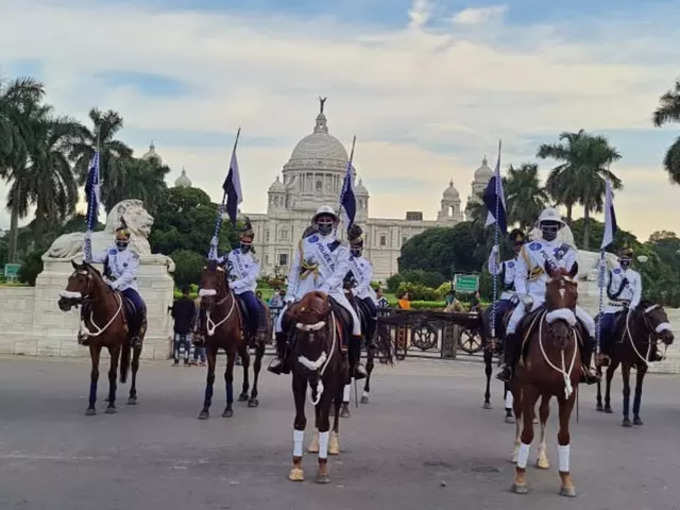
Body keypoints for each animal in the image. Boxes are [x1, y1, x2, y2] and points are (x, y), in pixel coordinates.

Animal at [57, 262, 143, 414]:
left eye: (81, 280)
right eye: (69, 279)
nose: (63, 302)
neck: (104, 311)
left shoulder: (115, 347)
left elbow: (113, 373)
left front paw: (112, 405)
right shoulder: (95, 346)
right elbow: (95, 373)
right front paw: (91, 405)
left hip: (137, 342)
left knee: (134, 366)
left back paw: (132, 395)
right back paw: (110, 396)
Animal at [286, 290, 346, 482]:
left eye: (322, 338)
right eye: (299, 338)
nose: (313, 375)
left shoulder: (331, 381)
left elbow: (325, 421)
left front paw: (323, 467)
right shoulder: (298, 379)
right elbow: (300, 421)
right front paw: (297, 466)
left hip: (342, 380)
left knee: (336, 407)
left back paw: (333, 444)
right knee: (318, 409)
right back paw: (315, 443)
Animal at [512, 274, 580, 498]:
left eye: (574, 297)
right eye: (548, 297)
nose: (561, 336)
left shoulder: (568, 393)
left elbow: (564, 435)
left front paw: (566, 479)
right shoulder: (529, 388)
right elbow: (527, 432)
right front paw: (520, 477)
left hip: (548, 392)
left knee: (542, 413)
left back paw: (542, 456)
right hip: (516, 385)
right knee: (518, 411)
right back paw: (516, 452)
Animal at [596, 298, 672, 426]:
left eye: (665, 315)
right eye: (651, 317)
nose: (670, 337)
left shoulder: (643, 366)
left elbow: (638, 390)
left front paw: (636, 417)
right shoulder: (626, 364)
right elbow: (627, 389)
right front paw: (626, 419)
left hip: (615, 360)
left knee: (609, 374)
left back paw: (607, 405)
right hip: (599, 358)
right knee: (599, 375)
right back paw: (599, 403)